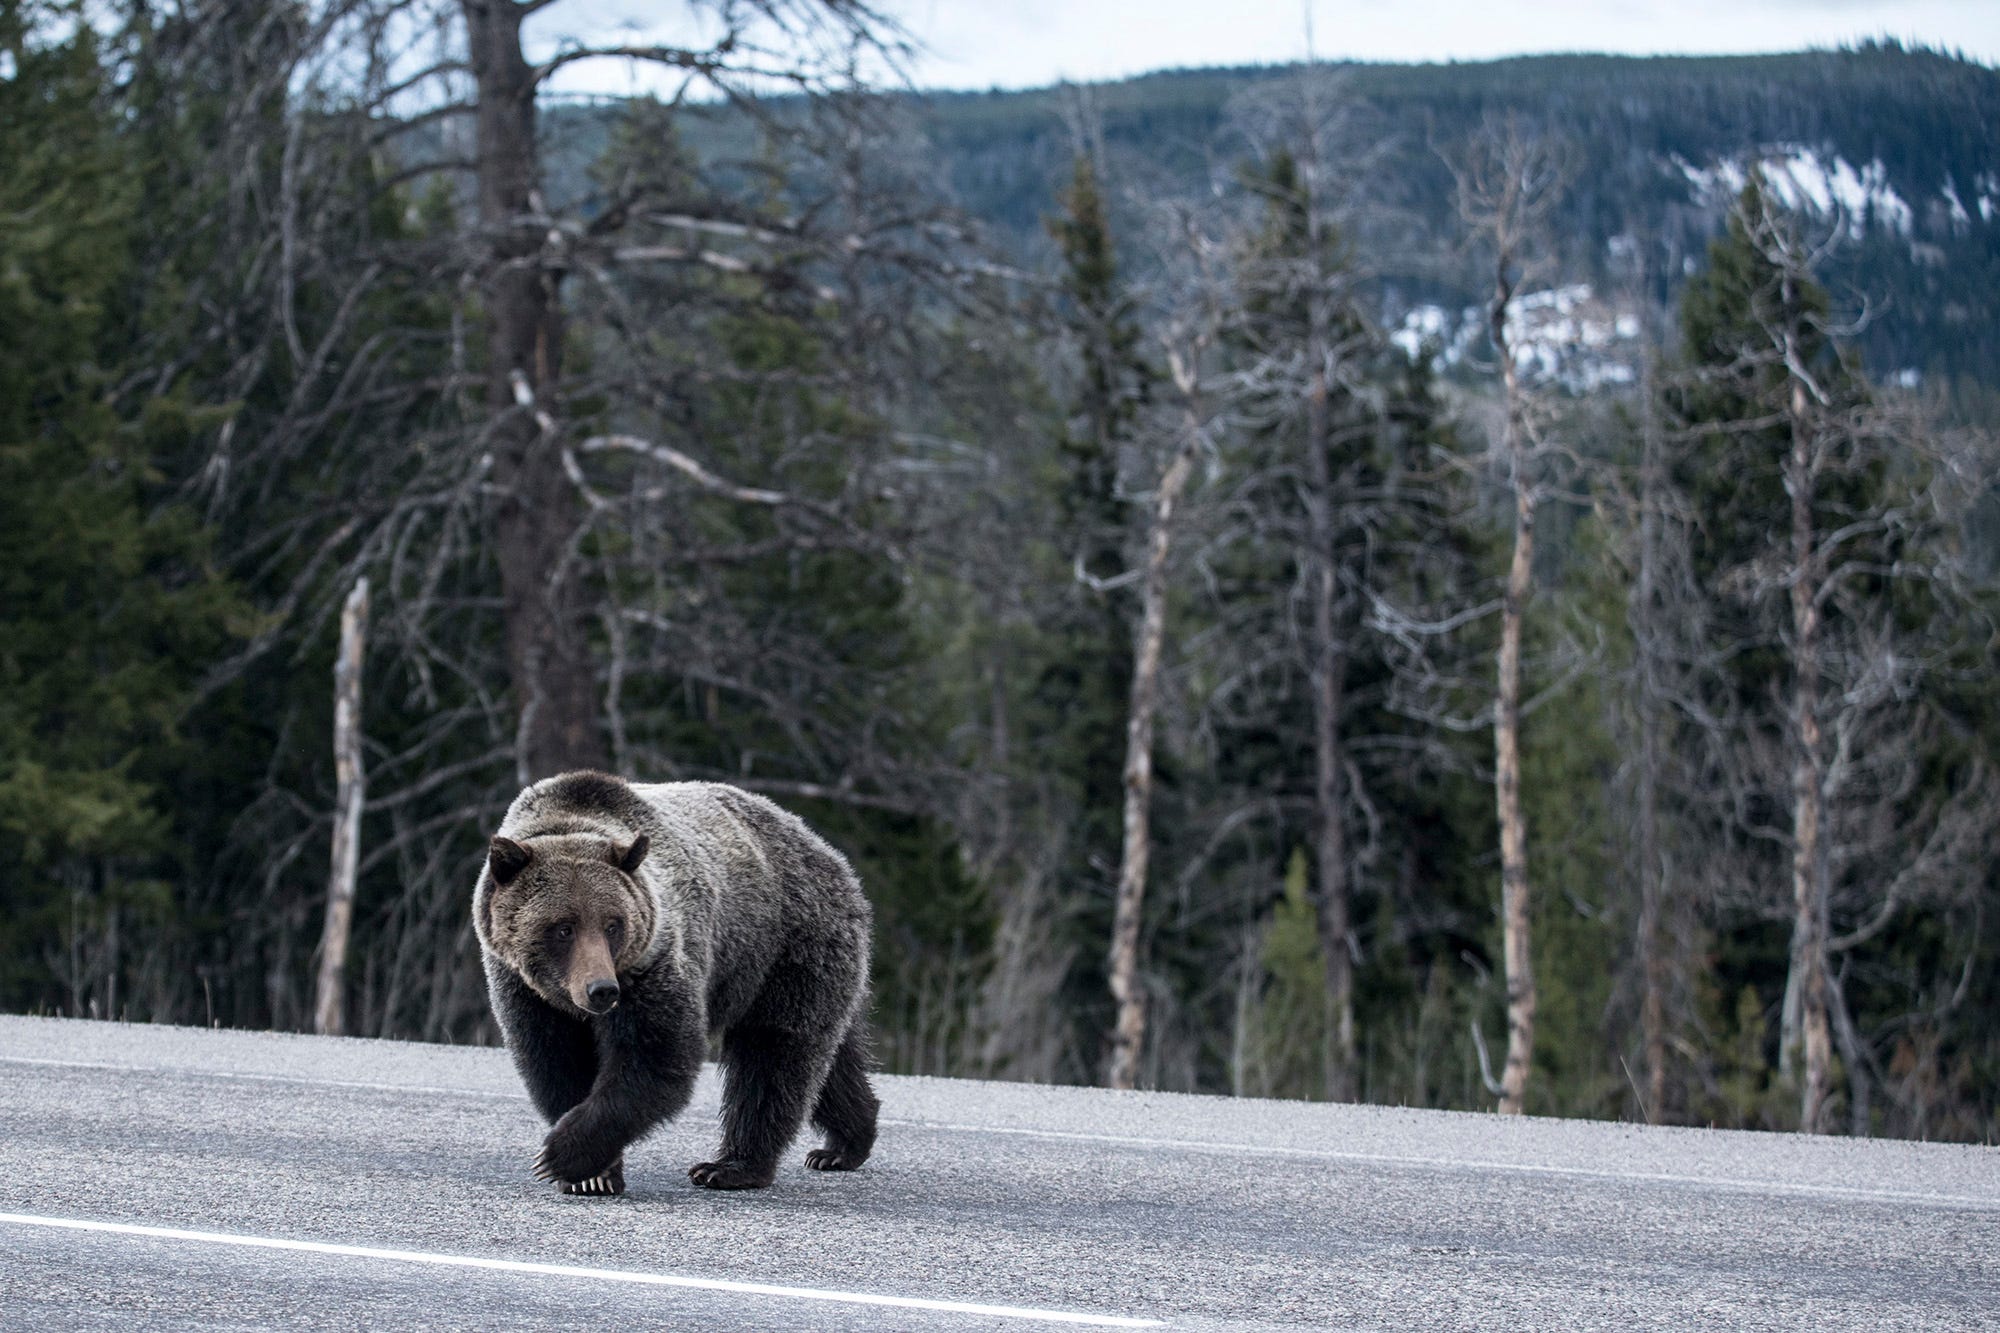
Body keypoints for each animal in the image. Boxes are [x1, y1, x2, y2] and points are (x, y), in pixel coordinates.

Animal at [472, 768, 880, 1192]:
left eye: (613, 924)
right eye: (563, 928)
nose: (601, 990)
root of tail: (831, 856)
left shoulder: (654, 962)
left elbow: (657, 1056)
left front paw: (562, 1157)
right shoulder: (524, 988)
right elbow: (557, 1060)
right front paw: (595, 1174)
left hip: (784, 949)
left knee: (773, 1054)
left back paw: (731, 1166)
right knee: (831, 1063)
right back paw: (844, 1144)